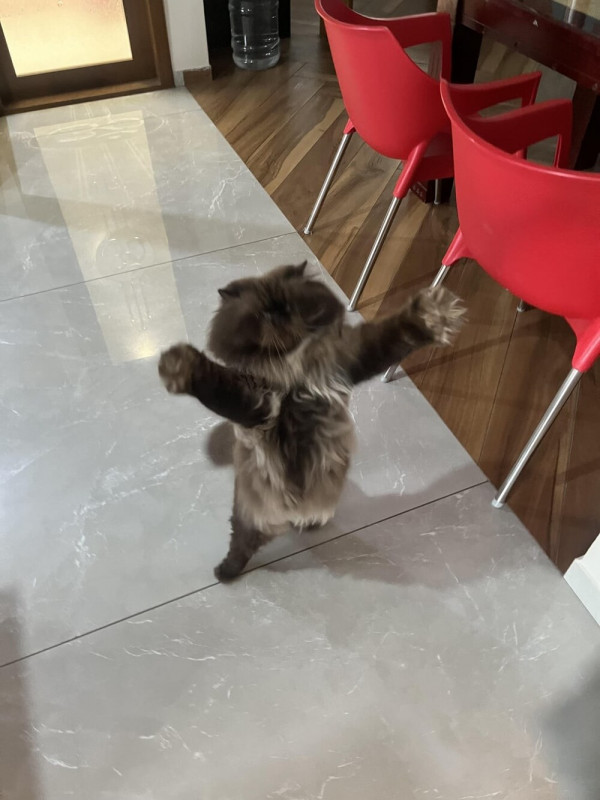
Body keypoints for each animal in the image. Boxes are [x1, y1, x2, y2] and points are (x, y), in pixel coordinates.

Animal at [158, 262, 465, 582]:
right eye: (264, 313)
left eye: (289, 305)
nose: (279, 316)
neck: (287, 364)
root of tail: (288, 515)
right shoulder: (257, 403)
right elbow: (214, 386)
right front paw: (178, 365)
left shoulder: (342, 360)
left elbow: (394, 334)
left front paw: (431, 314)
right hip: (248, 518)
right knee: (239, 549)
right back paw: (224, 573)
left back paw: (307, 524)